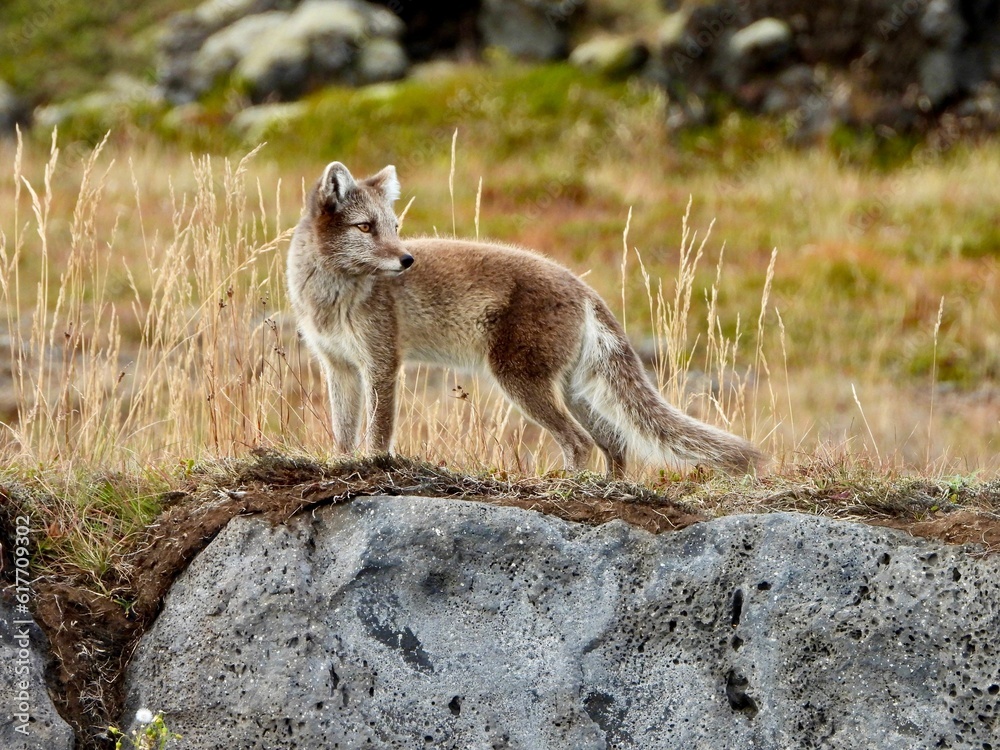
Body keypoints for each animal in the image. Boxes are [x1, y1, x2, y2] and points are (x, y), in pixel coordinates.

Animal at [286, 161, 765, 477]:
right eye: (366, 227)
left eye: (394, 226)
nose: (406, 260)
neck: (332, 297)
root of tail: (584, 289)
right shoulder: (339, 365)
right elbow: (344, 431)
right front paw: (343, 463)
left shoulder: (382, 363)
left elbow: (378, 429)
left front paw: (373, 465)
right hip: (572, 389)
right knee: (613, 441)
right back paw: (610, 489)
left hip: (520, 380)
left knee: (580, 442)